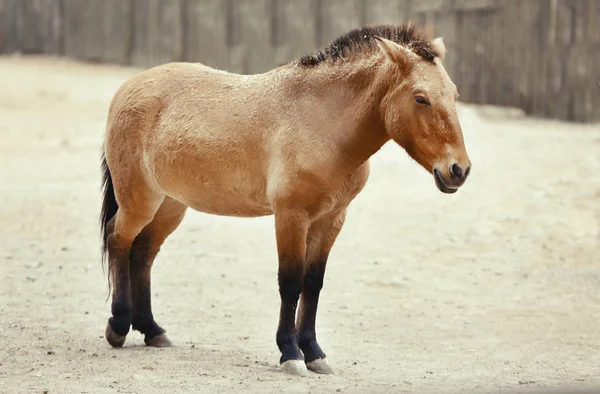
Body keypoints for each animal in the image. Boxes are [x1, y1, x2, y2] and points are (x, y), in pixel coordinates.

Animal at [101, 23, 472, 378]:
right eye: (421, 98)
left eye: (454, 95)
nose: (459, 170)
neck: (323, 124)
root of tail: (128, 87)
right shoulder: (291, 216)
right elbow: (291, 282)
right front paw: (291, 354)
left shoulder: (331, 219)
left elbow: (313, 284)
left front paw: (314, 353)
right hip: (140, 199)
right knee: (118, 240)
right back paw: (118, 326)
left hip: (171, 205)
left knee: (143, 252)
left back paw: (152, 330)